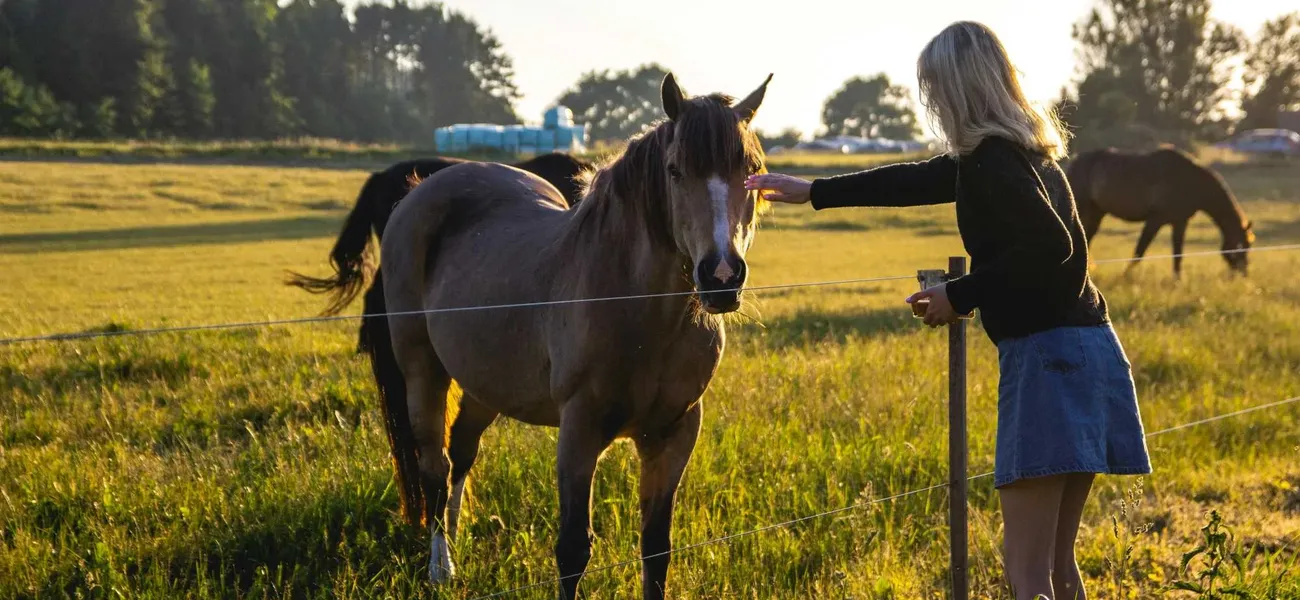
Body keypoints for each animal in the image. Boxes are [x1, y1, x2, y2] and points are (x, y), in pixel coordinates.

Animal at [371, 72, 771, 599]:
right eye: (674, 170)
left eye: (751, 169)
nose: (722, 276)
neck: (637, 312)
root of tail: (420, 190)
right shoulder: (579, 432)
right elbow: (573, 550)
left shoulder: (674, 433)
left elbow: (656, 549)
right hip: (422, 370)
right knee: (434, 467)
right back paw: (441, 568)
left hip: (485, 382)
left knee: (461, 453)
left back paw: (454, 543)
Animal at [1066, 146, 1255, 277]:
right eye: (1242, 245)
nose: (1243, 274)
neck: (1191, 181)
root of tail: (1074, 160)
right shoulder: (1155, 220)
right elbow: (1140, 250)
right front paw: (1125, 276)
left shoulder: (1180, 222)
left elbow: (1178, 253)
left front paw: (1177, 280)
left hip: (1097, 212)